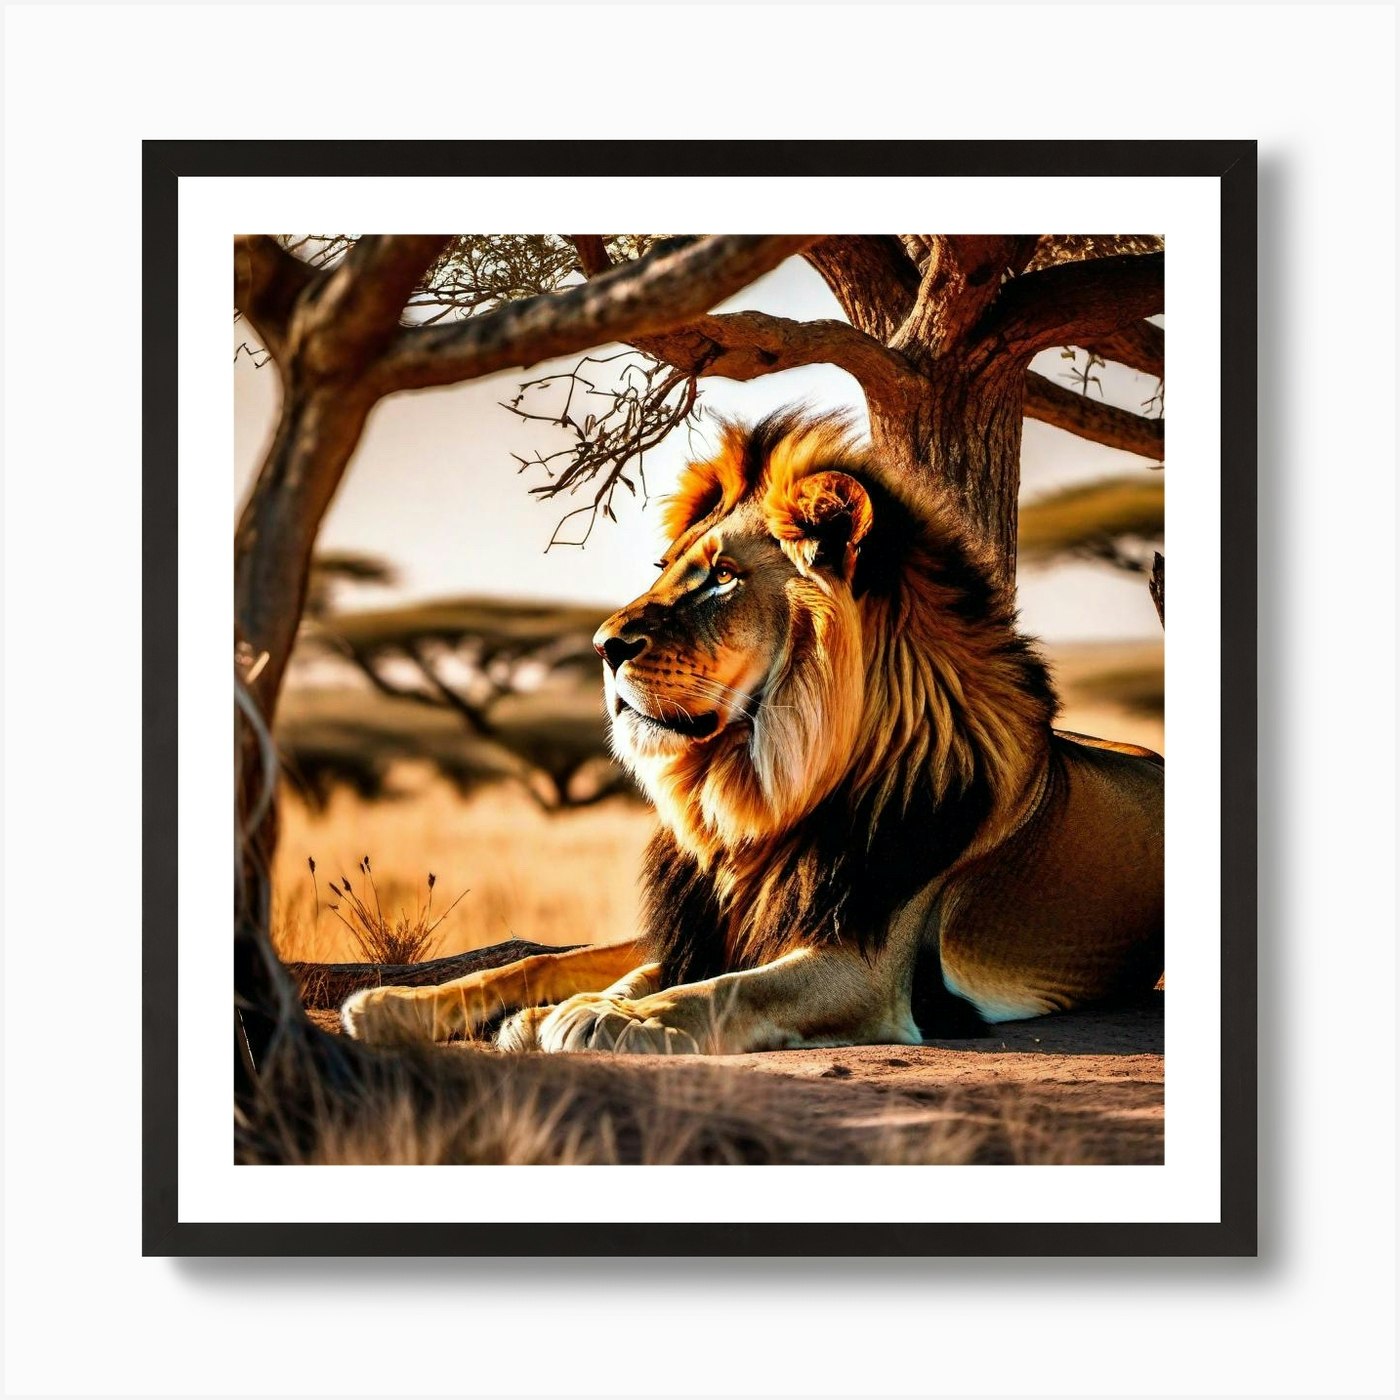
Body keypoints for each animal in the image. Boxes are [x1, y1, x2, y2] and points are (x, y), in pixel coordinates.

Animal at [341, 411, 1163, 1055]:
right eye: (668, 567)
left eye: (723, 576)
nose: (603, 645)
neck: (757, 801)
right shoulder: (704, 925)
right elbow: (581, 964)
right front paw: (433, 1006)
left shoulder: (867, 967)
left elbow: (727, 990)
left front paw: (613, 1019)